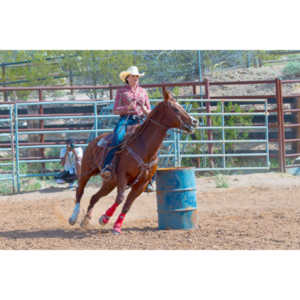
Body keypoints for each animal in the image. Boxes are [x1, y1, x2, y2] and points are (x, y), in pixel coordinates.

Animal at [69, 88, 198, 233]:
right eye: (175, 109)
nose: (194, 121)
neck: (144, 147)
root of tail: (96, 139)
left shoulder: (142, 184)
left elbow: (128, 204)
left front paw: (117, 226)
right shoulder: (122, 175)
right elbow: (120, 199)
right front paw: (105, 218)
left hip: (110, 182)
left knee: (94, 197)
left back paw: (86, 220)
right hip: (87, 171)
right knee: (80, 190)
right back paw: (73, 217)